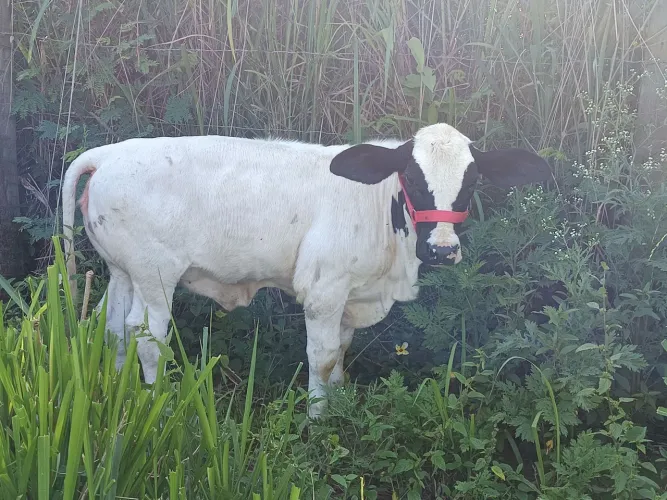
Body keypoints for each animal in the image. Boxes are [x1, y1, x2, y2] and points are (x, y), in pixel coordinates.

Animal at [61, 122, 551, 418]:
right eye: (412, 177)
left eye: (472, 181)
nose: (443, 250)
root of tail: (108, 154)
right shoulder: (323, 289)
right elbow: (323, 354)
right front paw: (318, 416)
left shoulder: (352, 295)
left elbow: (342, 352)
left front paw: (339, 400)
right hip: (155, 276)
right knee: (146, 336)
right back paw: (155, 404)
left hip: (122, 272)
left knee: (110, 327)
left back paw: (121, 389)